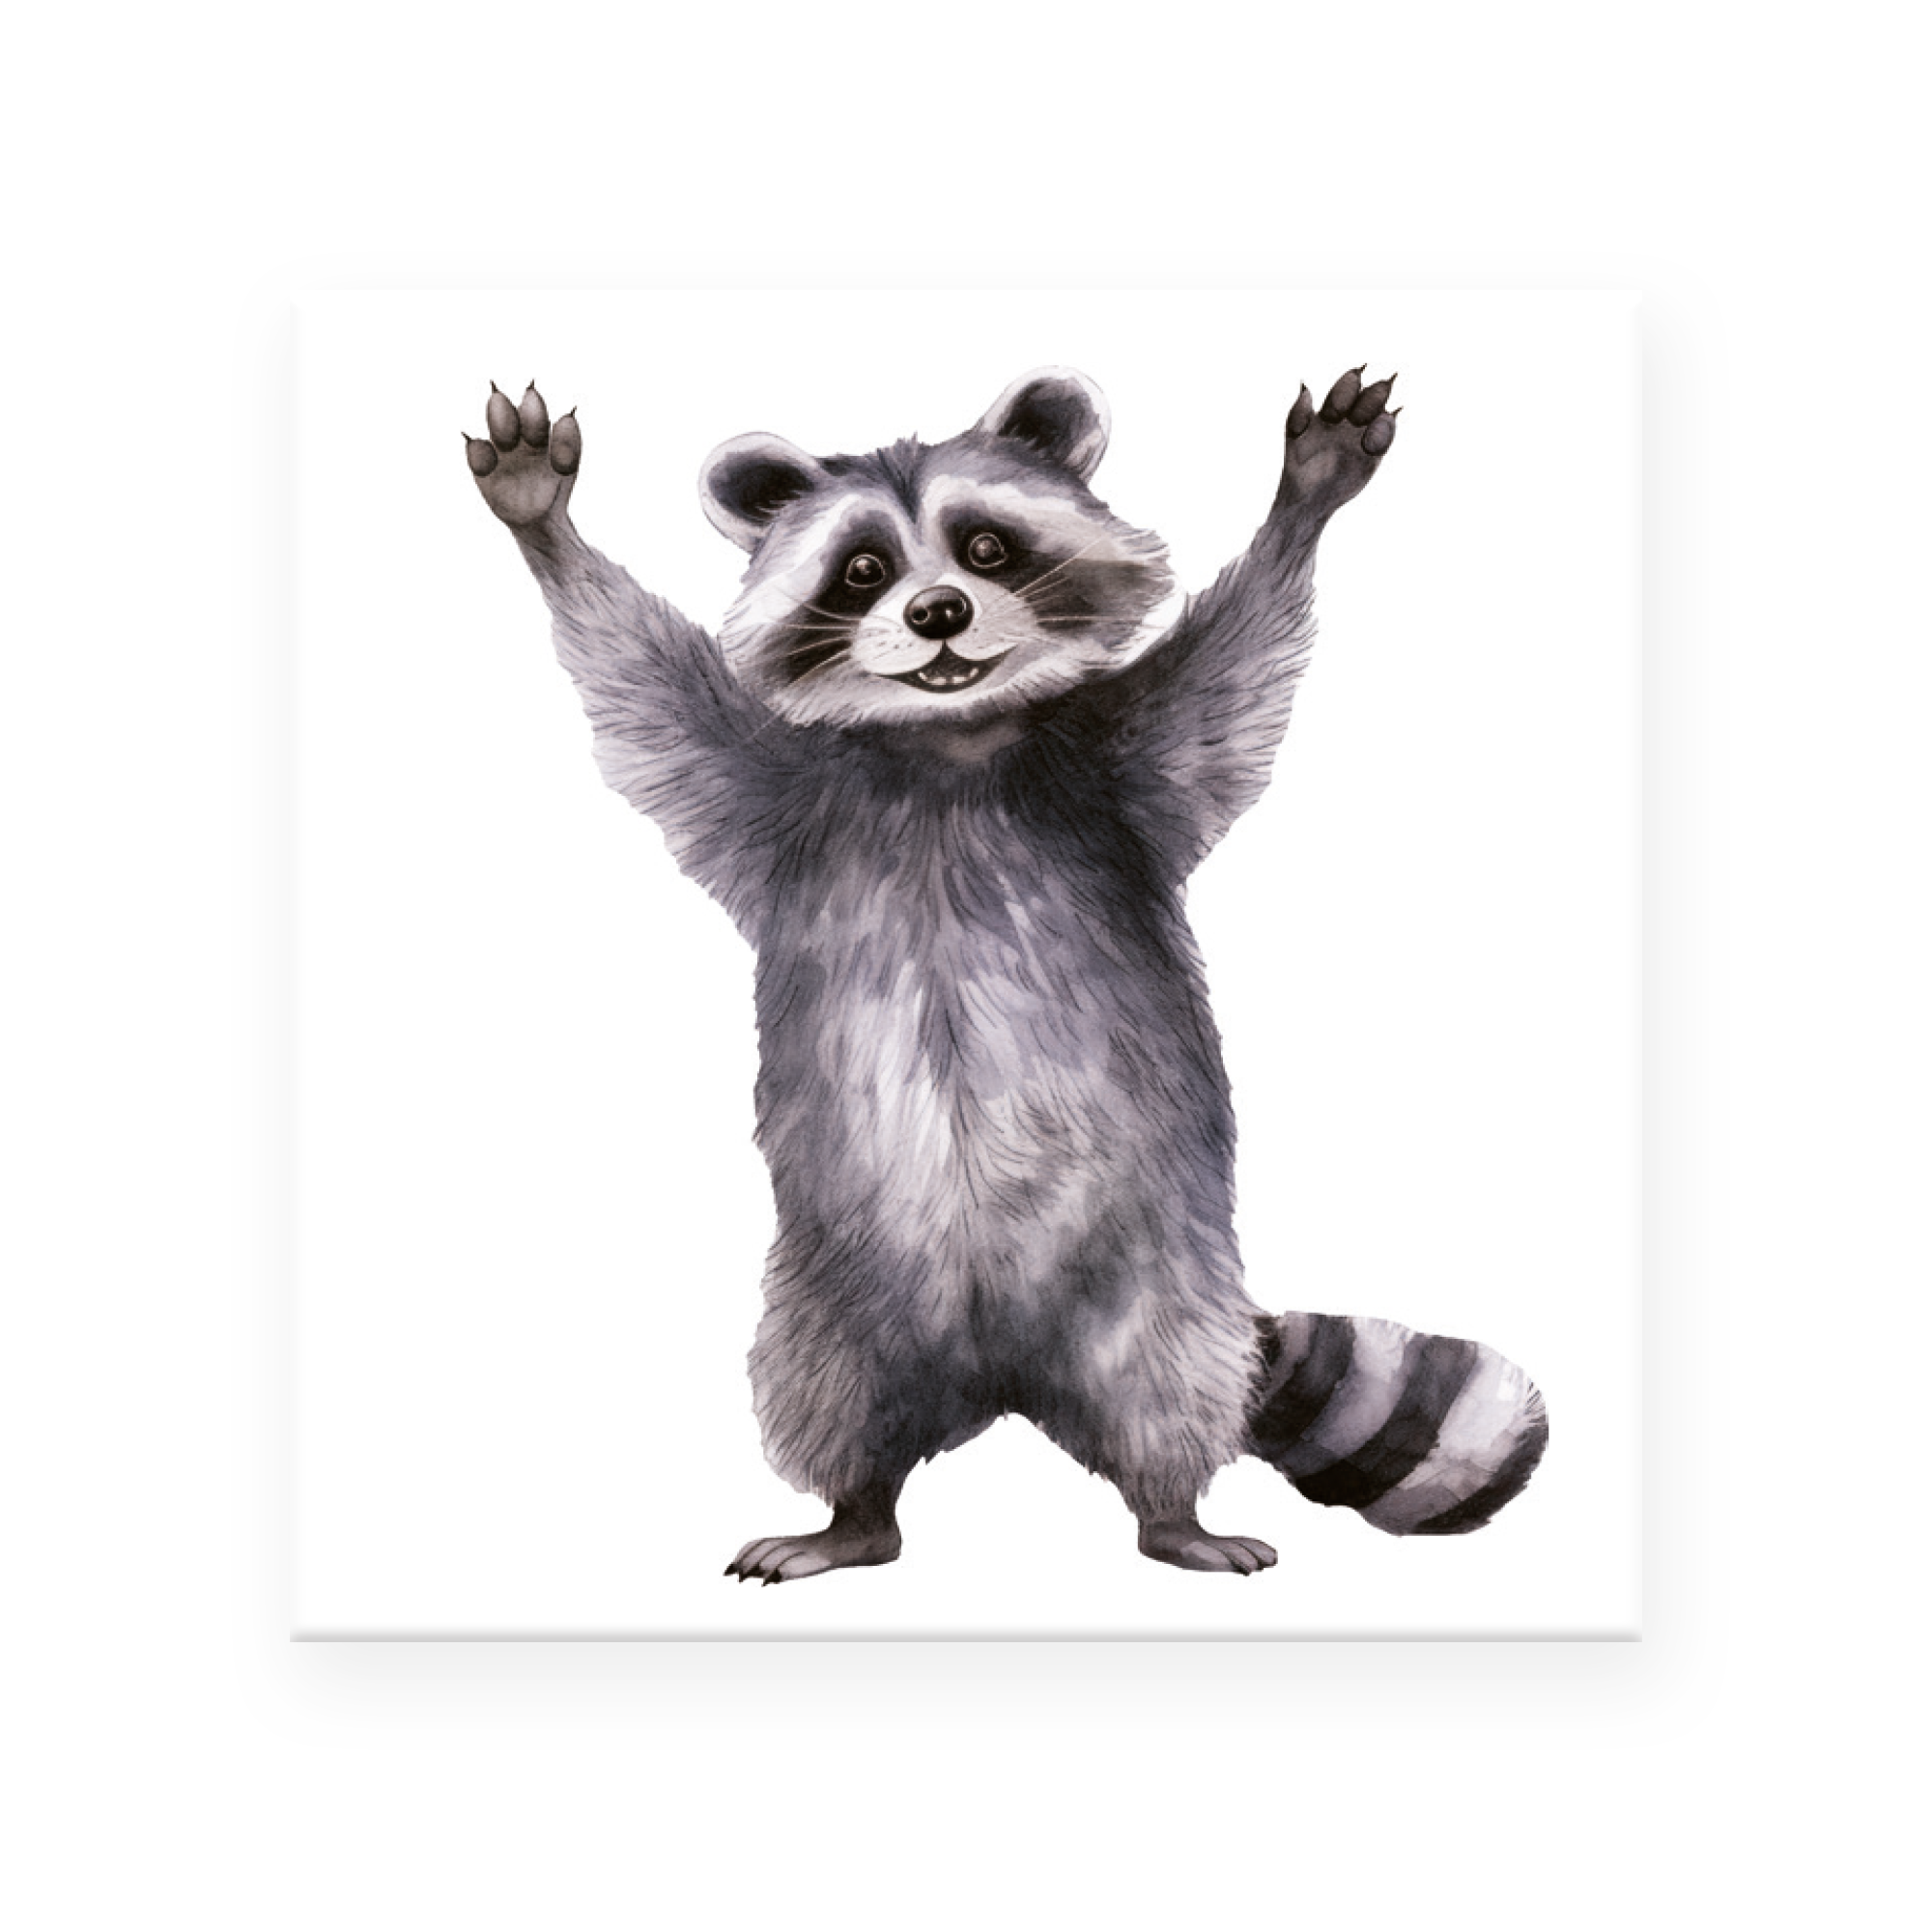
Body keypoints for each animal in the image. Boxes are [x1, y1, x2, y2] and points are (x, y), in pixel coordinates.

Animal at [465, 364, 1547, 1581]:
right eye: (862, 569)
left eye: (984, 547)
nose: (937, 613)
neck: (950, 740)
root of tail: (1003, 1375)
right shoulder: (775, 794)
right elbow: (641, 677)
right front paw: (546, 530)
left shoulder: (1124, 773)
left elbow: (1233, 662)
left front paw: (1299, 507)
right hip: (833, 1296)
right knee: (825, 1391)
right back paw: (853, 1511)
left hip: (1154, 1279)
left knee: (1167, 1387)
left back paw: (1171, 1508)